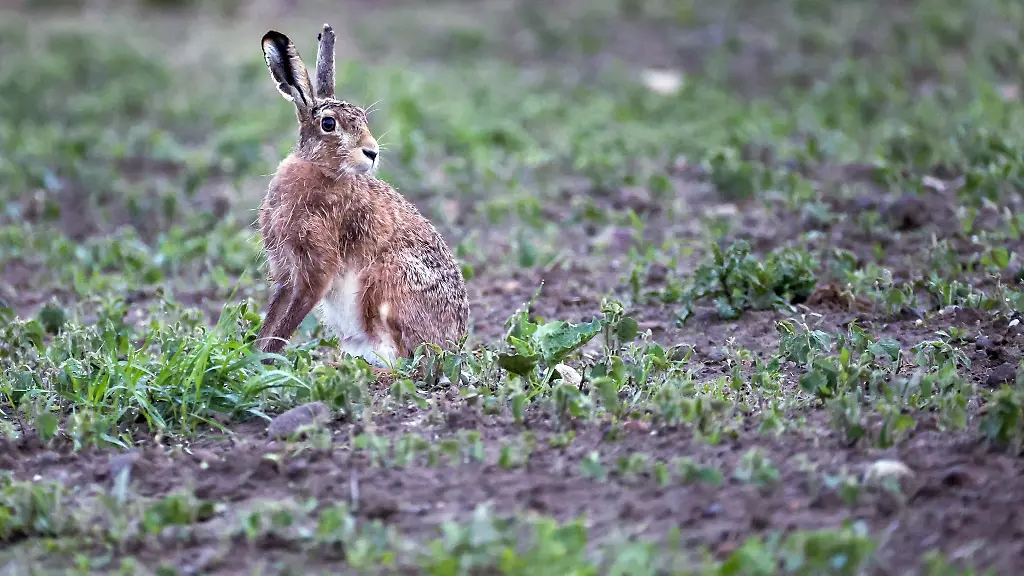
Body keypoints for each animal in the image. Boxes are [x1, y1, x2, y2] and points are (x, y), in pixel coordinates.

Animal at [254, 24, 469, 374]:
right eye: (328, 124)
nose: (372, 151)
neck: (321, 170)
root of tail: (454, 346)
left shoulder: (317, 267)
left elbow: (289, 321)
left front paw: (264, 363)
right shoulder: (286, 272)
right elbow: (274, 317)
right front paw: (251, 356)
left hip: (388, 284)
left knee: (407, 360)